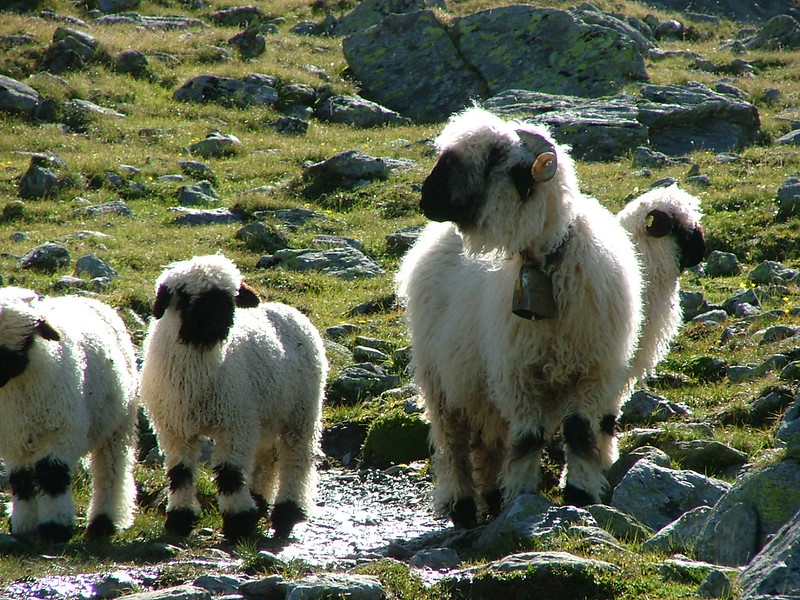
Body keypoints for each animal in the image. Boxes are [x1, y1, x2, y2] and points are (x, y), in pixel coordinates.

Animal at [0, 287, 138, 542]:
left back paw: (104, 522)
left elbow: (52, 475)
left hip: (118, 426)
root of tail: (85, 298)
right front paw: (23, 525)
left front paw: (55, 528)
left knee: (111, 472)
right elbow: (21, 481)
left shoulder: (60, 431)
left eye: (26, 340)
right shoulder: (14, 440)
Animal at [139, 254, 327, 542]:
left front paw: (239, 523)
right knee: (266, 458)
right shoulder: (174, 429)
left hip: (302, 411)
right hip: (265, 415)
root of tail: (287, 309)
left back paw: (287, 512)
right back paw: (260, 501)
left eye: (231, 297)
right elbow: (180, 474)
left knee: (296, 459)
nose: (218, 322)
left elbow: (230, 474)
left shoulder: (234, 423)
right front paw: (179, 520)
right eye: (185, 296)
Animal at [396, 106, 643, 528]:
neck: (547, 263)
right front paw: (522, 495)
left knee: (489, 442)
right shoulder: (518, 373)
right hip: (440, 380)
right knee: (453, 443)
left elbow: (579, 431)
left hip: (480, 385)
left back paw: (492, 496)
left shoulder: (593, 372)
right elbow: (529, 436)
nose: (427, 197)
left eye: (495, 158)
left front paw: (579, 495)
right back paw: (463, 505)